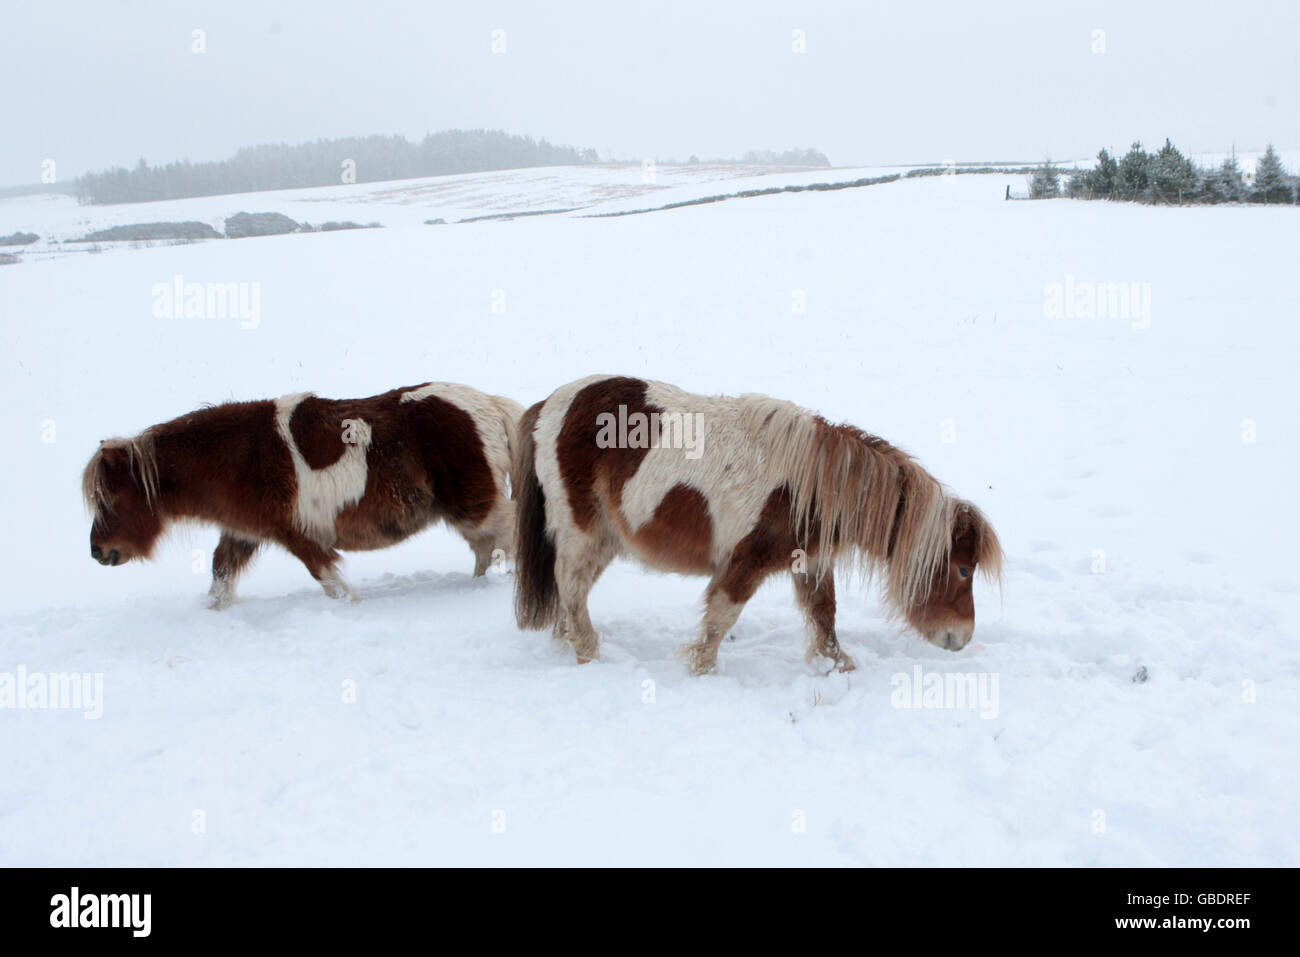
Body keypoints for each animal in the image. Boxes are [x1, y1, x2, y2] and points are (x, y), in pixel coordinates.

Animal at [82, 383, 523, 607]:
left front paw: (351, 606)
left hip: (475, 505)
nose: (98, 551)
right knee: (489, 548)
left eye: (110, 499)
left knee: (509, 533)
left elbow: (328, 580)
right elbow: (220, 575)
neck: (236, 457)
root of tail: (488, 405)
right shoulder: (242, 534)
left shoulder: (299, 536)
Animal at [512, 375, 1002, 674]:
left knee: (569, 594)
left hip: (605, 540)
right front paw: (702, 670)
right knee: (571, 586)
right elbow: (719, 619)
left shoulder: (811, 563)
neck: (811, 485)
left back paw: (568, 644)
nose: (961, 637)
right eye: (963, 569)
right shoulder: (745, 564)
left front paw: (838, 667)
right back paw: (589, 654)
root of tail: (551, 405)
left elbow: (824, 617)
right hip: (582, 533)